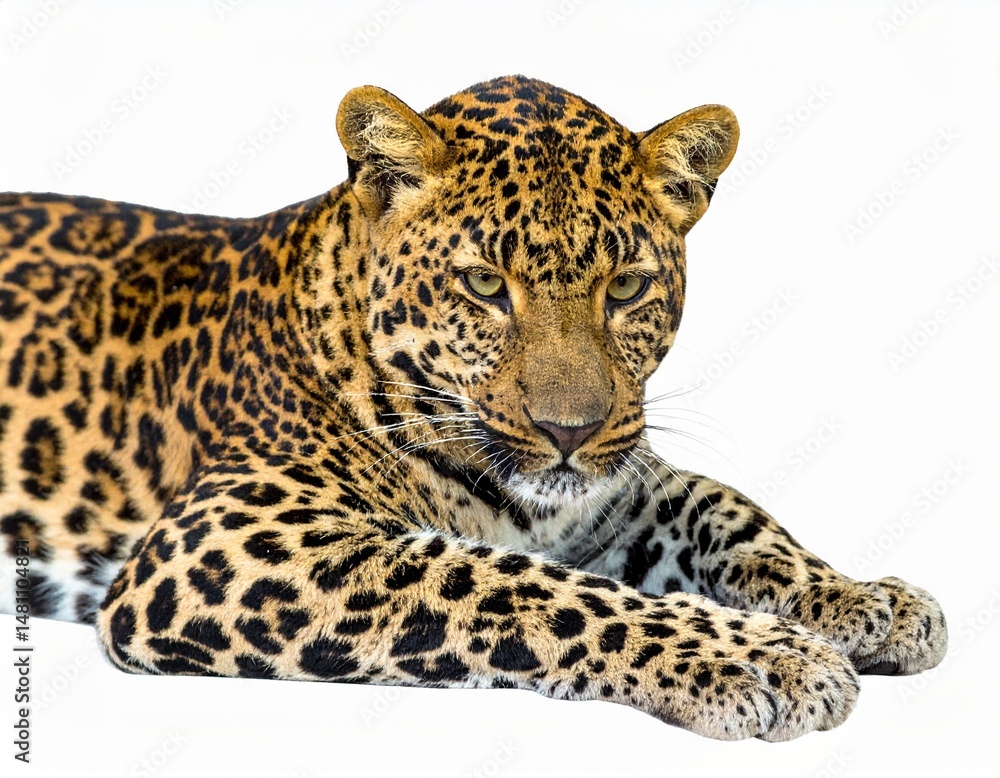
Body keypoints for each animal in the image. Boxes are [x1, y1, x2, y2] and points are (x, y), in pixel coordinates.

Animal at [0, 75, 946, 741]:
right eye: (486, 285)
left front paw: (860, 599)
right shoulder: (224, 542)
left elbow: (725, 507)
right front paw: (764, 656)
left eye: (627, 288)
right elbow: (519, 583)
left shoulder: (616, 491)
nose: (569, 433)